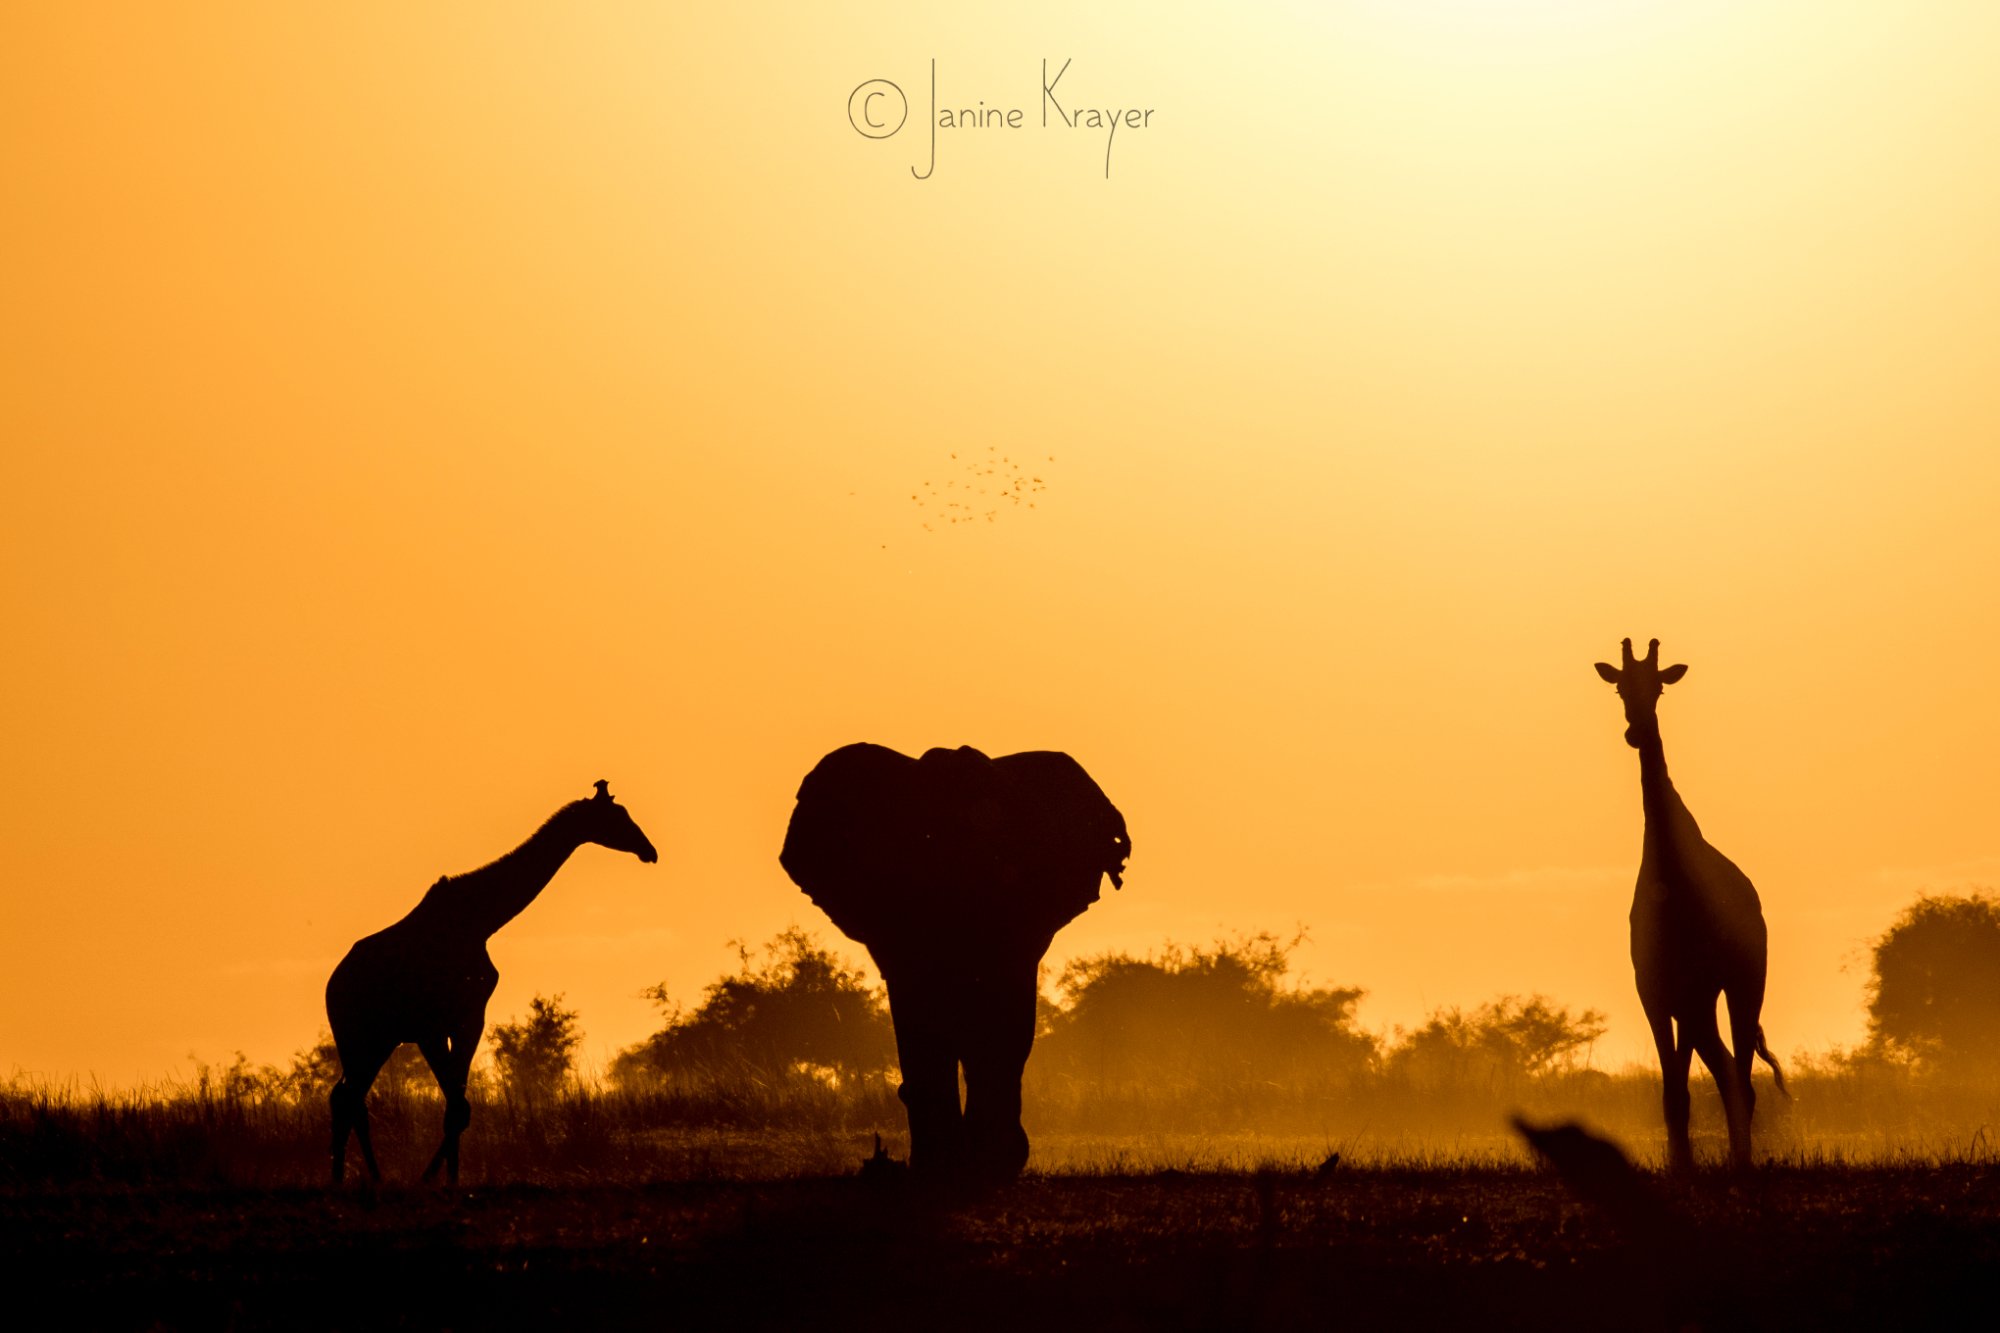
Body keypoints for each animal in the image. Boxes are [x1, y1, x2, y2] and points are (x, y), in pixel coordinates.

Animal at [324, 780, 660, 1184]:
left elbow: (459, 1107)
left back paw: (358, 1179)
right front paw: (434, 1181)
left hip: (376, 1040)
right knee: (349, 1098)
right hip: (358, 1035)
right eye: (617, 816)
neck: (481, 920)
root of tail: (332, 986)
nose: (649, 850)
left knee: (346, 1097)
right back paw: (361, 1179)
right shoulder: (441, 1024)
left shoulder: (462, 1021)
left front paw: (445, 1181)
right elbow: (457, 1107)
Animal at [1600, 632, 1792, 1160]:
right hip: (1701, 1000)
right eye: (1620, 687)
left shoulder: (1692, 986)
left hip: (1745, 981)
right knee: (1727, 1069)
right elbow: (1674, 1093)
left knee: (1741, 1075)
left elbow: (1692, 1085)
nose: (1635, 733)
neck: (1672, 875)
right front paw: (1678, 1164)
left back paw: (1742, 1161)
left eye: (1660, 688)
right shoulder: (1655, 989)